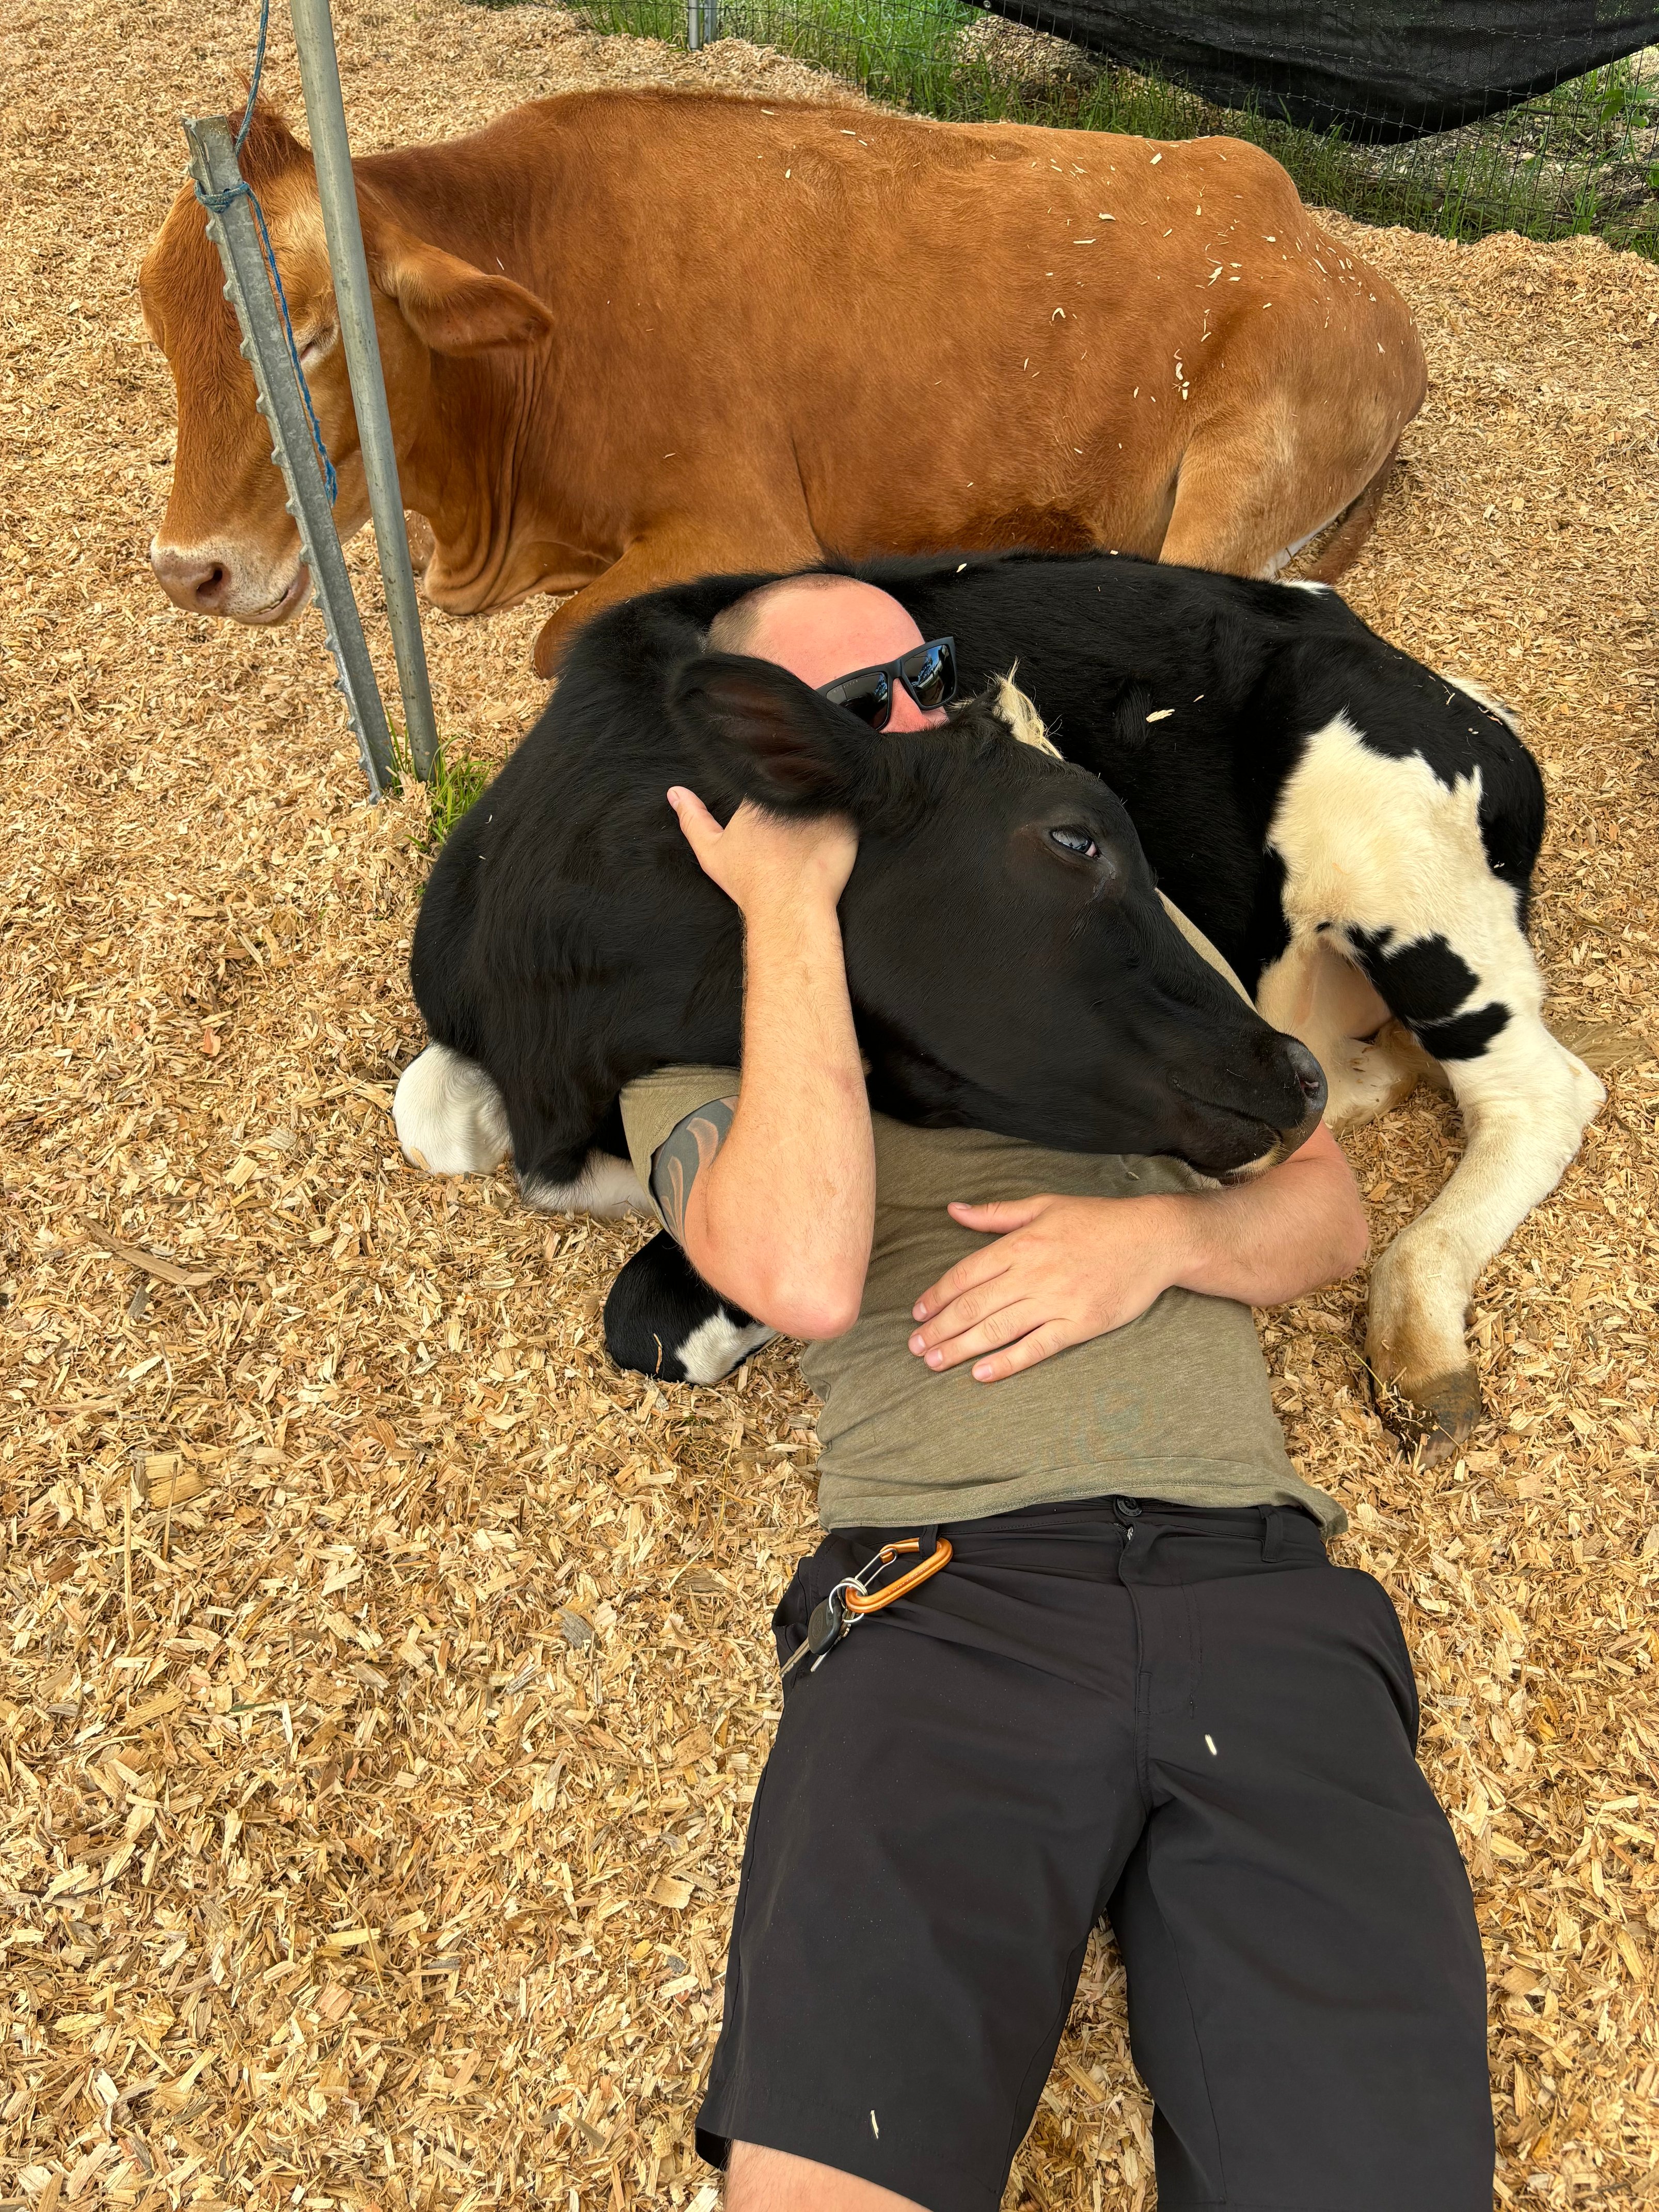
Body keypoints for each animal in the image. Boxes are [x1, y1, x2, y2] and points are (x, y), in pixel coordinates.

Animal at [140, 92, 1424, 677]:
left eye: (311, 336)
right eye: (159, 333)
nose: (188, 571)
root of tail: (1338, 259)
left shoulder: (744, 521)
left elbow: (561, 640)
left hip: (1235, 475)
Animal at [401, 554, 1603, 1462]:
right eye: (1073, 837)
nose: (1292, 1086)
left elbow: (655, 1310)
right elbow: (429, 1116)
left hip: (1391, 860)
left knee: (1541, 1091)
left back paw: (1417, 1325)